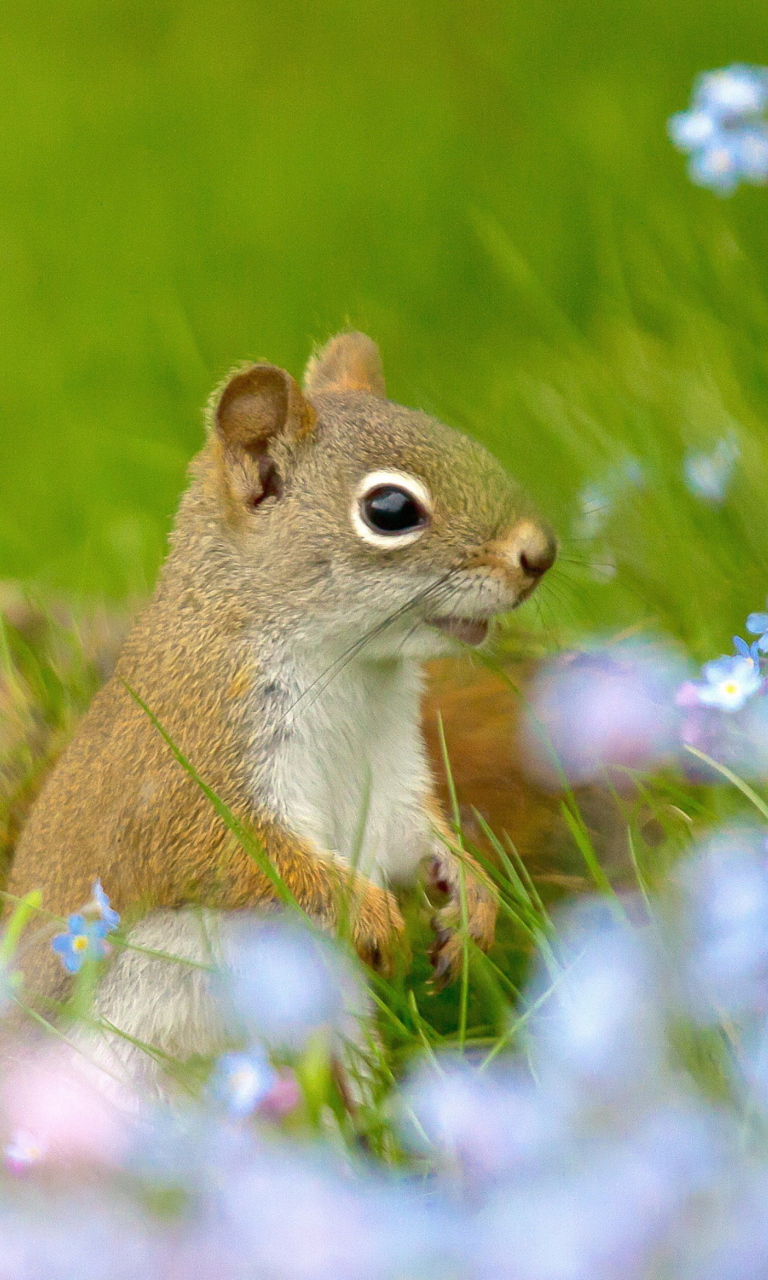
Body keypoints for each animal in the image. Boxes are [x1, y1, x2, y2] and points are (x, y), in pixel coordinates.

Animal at [7, 327, 558, 1070]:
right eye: (390, 510)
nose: (540, 553)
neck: (352, 672)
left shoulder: (386, 775)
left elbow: (410, 833)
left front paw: (472, 898)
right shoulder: (192, 766)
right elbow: (244, 856)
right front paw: (373, 916)